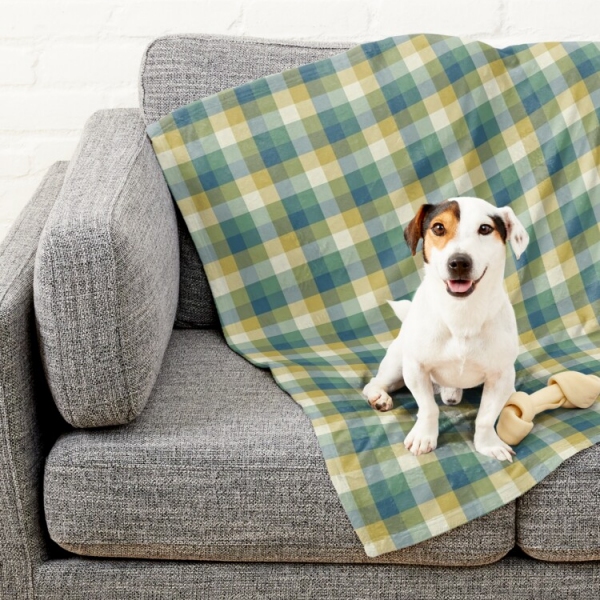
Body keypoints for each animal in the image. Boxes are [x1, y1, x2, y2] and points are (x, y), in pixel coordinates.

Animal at [364, 199, 528, 462]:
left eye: (485, 228)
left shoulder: (501, 375)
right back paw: (378, 397)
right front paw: (424, 437)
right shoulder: (416, 368)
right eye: (438, 228)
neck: (461, 315)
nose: (459, 262)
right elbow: (428, 408)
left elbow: (485, 417)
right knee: (375, 382)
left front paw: (488, 444)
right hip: (397, 364)